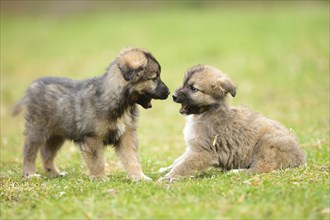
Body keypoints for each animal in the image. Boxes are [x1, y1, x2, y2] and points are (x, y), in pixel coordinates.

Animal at [12, 47, 170, 180]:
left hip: (57, 133)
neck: (119, 101)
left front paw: (139, 177)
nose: (168, 92)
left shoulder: (127, 135)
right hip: (37, 129)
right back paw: (29, 174)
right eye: (154, 78)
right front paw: (99, 178)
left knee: (46, 153)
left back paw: (54, 173)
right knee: (29, 151)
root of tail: (33, 86)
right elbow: (97, 161)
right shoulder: (92, 137)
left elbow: (132, 158)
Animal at [162, 64, 306, 180]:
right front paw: (165, 170)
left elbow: (183, 166)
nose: (173, 96)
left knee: (261, 168)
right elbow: (178, 161)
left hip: (266, 143)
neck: (206, 111)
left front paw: (168, 178)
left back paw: (236, 172)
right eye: (184, 84)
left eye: (193, 89)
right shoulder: (193, 147)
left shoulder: (203, 151)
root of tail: (301, 159)